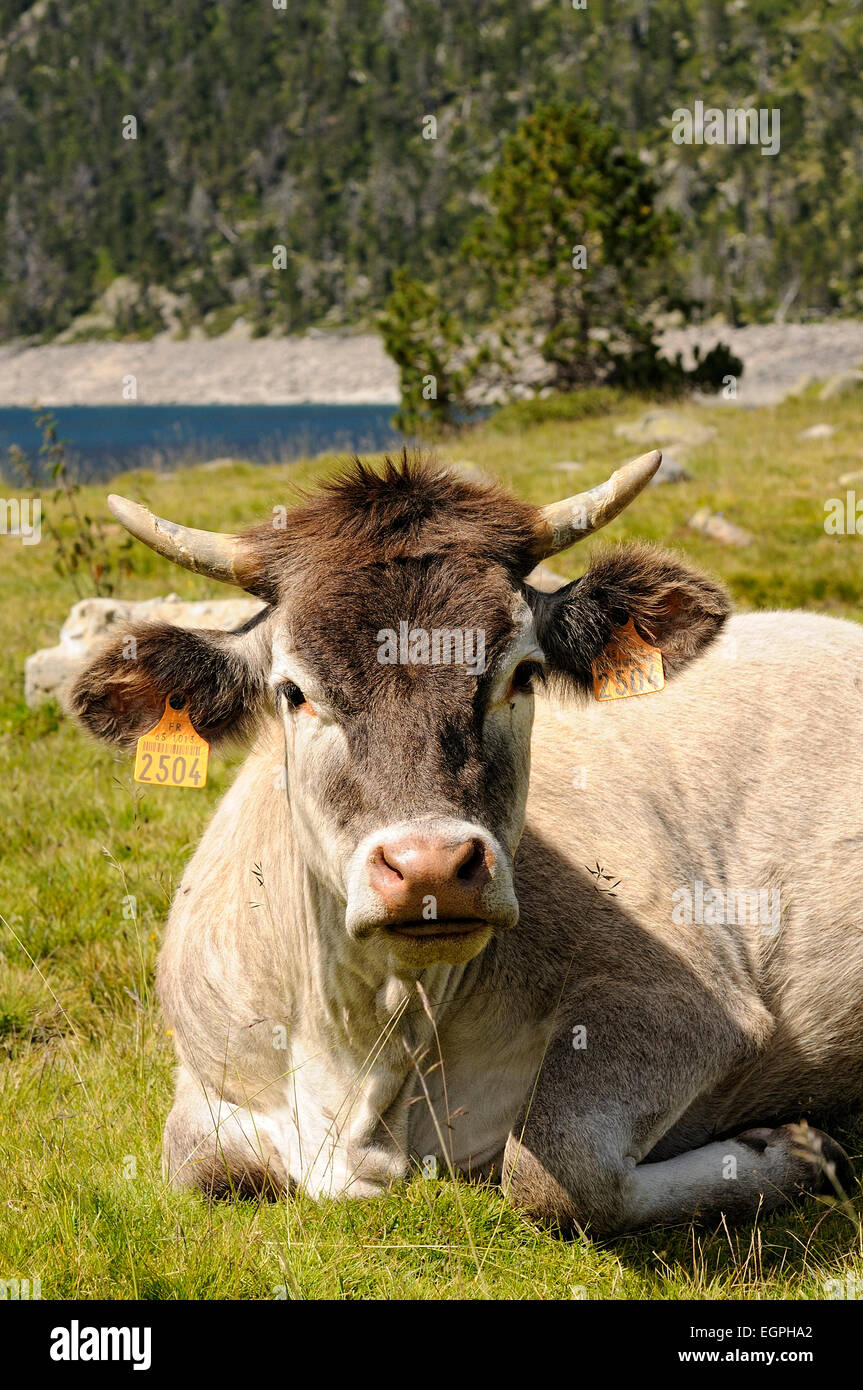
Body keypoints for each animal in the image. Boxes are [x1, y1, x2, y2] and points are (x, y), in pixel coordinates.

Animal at [69, 447, 861, 1239]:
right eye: (293, 692)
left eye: (524, 673)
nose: (431, 869)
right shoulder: (207, 1078)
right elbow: (199, 1167)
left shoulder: (688, 1002)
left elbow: (552, 1169)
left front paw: (793, 1152)